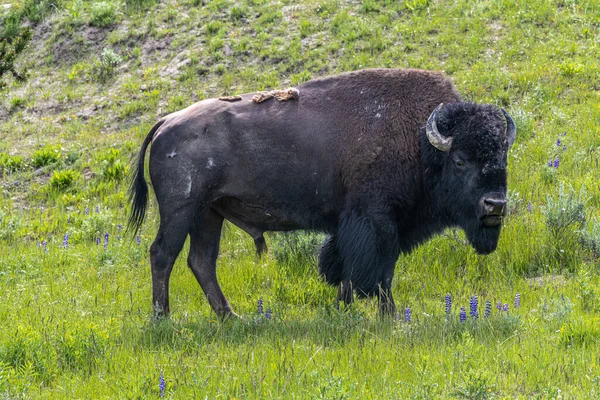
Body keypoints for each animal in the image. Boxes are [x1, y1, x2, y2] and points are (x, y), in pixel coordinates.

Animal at [130, 69, 516, 318]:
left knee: (201, 261)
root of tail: (166, 121)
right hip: (181, 210)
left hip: (209, 214)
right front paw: (388, 316)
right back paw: (163, 317)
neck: (421, 140)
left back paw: (230, 317)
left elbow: (349, 266)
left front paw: (343, 309)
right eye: (461, 160)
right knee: (163, 254)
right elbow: (378, 269)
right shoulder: (377, 219)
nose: (495, 204)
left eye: (502, 156)